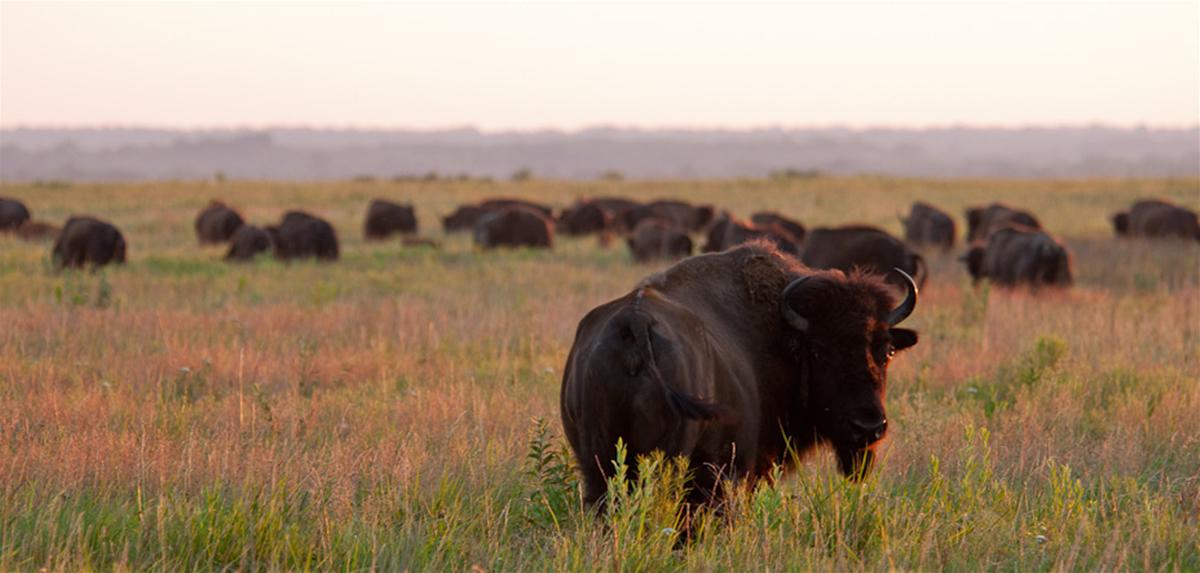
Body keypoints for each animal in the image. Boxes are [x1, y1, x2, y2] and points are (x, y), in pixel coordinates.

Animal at [561, 241, 919, 507]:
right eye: (819, 350)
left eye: (887, 350)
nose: (869, 427)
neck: (784, 335)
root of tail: (636, 321)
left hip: (597, 464)